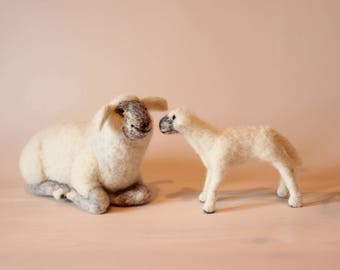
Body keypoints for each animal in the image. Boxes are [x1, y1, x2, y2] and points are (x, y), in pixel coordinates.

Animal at [18, 96, 167, 214]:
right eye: (120, 111)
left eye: (145, 108)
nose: (145, 123)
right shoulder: (83, 179)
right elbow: (100, 202)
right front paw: (70, 194)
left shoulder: (135, 179)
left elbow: (144, 193)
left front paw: (119, 197)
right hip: (34, 170)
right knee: (33, 187)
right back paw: (58, 188)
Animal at [159, 107, 302, 213]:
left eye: (172, 117)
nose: (159, 125)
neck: (207, 139)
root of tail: (273, 131)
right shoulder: (211, 167)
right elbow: (207, 183)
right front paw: (204, 197)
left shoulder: (220, 168)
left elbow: (213, 187)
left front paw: (209, 207)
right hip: (274, 155)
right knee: (285, 169)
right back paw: (283, 192)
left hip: (272, 154)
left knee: (288, 171)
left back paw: (295, 201)